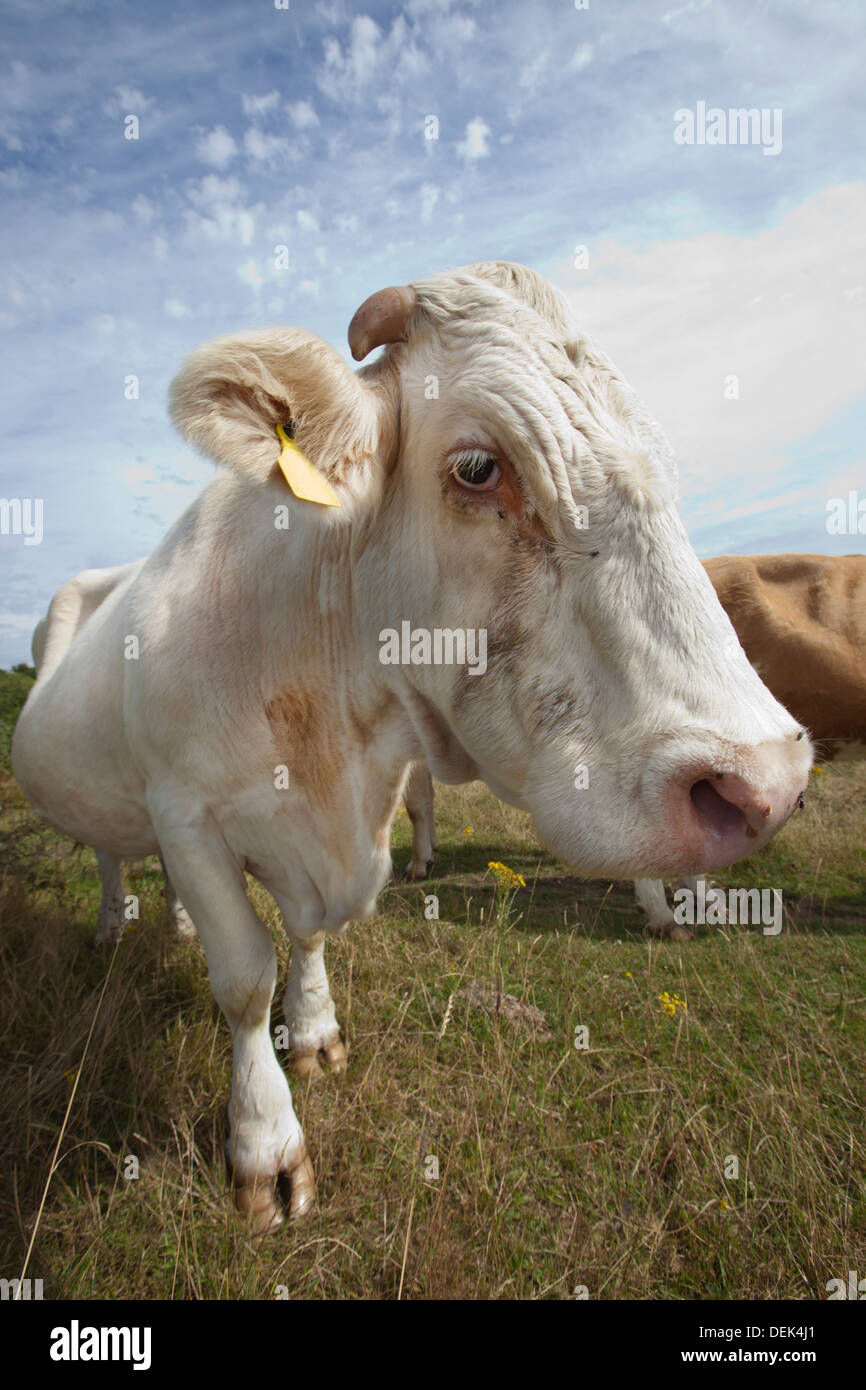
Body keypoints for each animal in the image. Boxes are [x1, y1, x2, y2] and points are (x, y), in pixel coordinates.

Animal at [12, 262, 812, 1232]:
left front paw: (315, 1032)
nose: (768, 781)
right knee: (105, 855)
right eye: (476, 467)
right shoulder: (187, 812)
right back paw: (107, 927)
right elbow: (243, 978)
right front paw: (266, 1145)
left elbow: (309, 938)